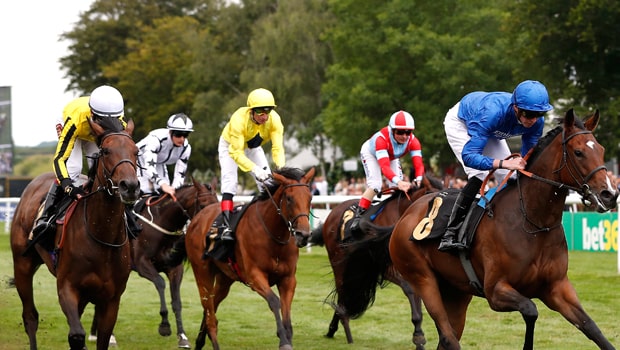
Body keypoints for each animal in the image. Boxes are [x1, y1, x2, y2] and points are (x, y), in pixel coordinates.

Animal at [10, 119, 139, 350]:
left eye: (136, 151)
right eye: (106, 151)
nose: (130, 186)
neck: (102, 236)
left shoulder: (111, 299)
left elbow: (102, 338)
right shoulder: (67, 287)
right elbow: (77, 335)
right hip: (22, 265)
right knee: (30, 317)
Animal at [88, 178, 219, 348]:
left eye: (217, 203)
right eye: (203, 205)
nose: (213, 232)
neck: (162, 222)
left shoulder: (174, 268)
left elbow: (177, 301)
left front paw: (182, 336)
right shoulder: (142, 263)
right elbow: (160, 282)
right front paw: (164, 325)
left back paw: (94, 332)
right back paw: (109, 336)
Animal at [182, 167, 312, 350]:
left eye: (310, 197)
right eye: (289, 198)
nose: (304, 235)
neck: (274, 236)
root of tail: (197, 218)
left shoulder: (288, 279)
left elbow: (287, 314)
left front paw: (287, 337)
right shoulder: (254, 276)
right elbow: (274, 301)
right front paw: (283, 340)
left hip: (224, 278)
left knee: (211, 307)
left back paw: (201, 340)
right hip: (202, 272)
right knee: (209, 313)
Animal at [308, 175, 444, 348]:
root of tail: (333, 212)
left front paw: (419, 332)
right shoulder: (384, 267)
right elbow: (409, 289)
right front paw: (418, 335)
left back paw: (333, 328)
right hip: (337, 261)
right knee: (342, 292)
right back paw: (345, 327)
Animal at [342, 108, 616, 348]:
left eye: (602, 150)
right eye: (578, 152)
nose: (610, 194)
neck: (533, 222)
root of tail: (402, 220)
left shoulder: (557, 287)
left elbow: (592, 328)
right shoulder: (495, 291)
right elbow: (531, 310)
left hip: (456, 292)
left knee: (448, 337)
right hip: (422, 279)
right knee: (448, 337)